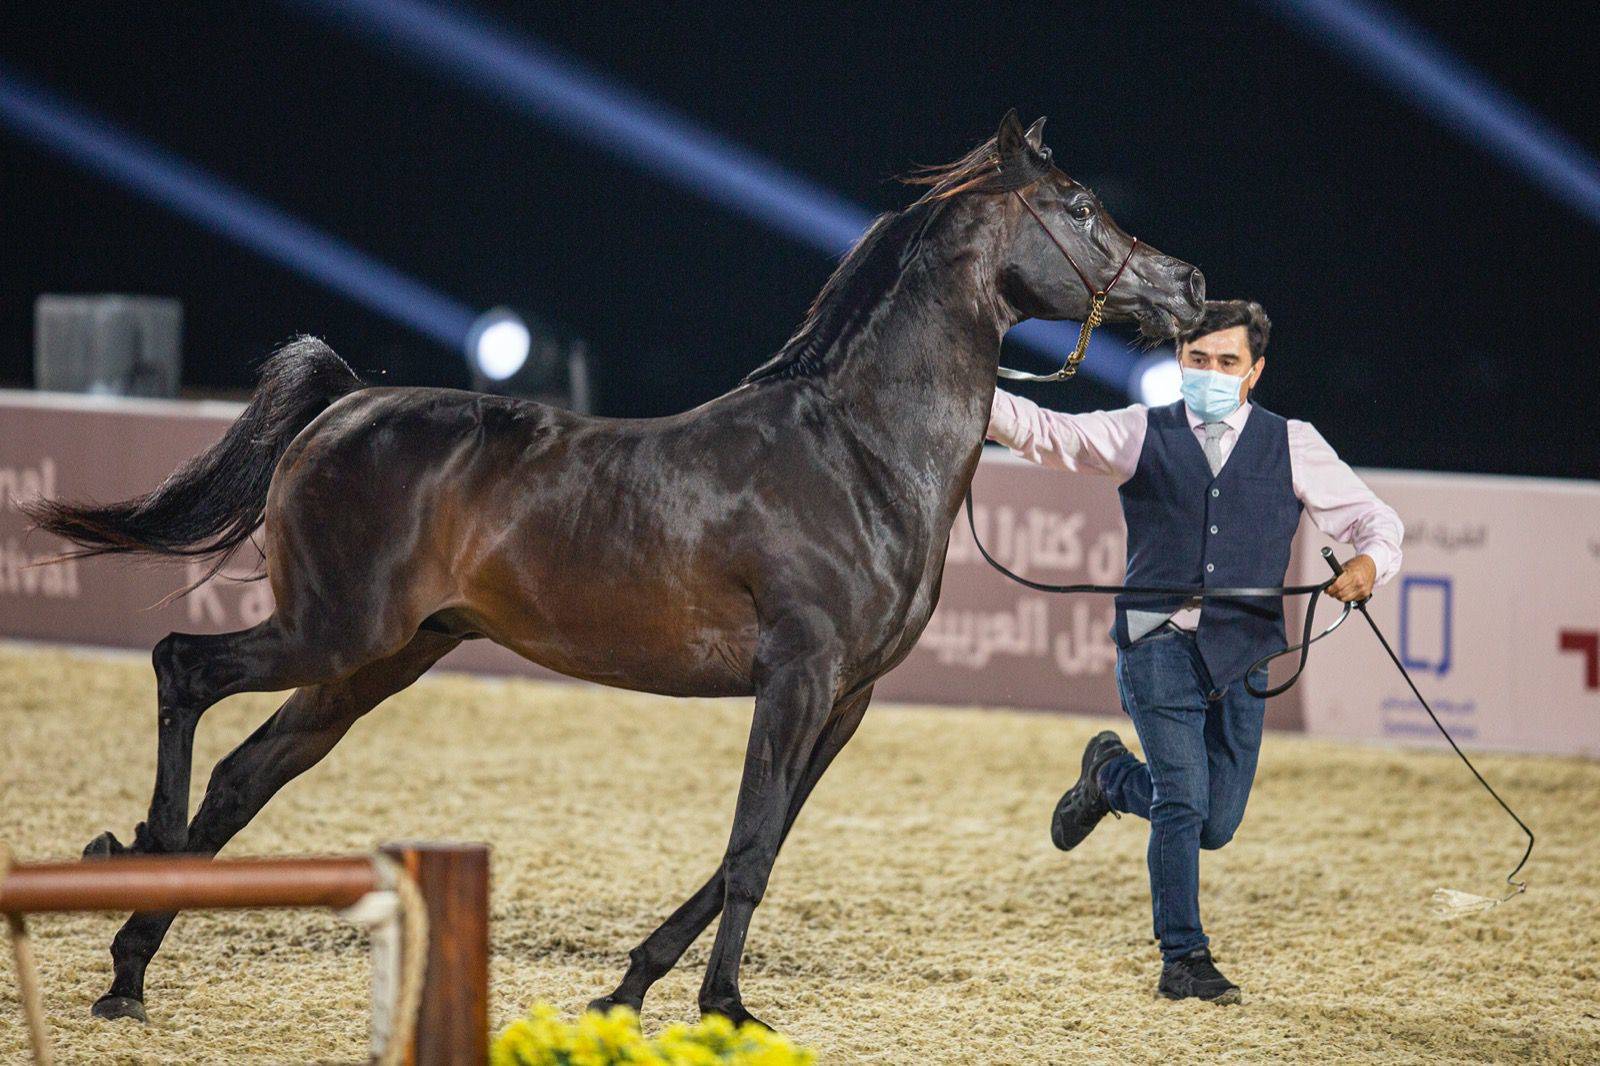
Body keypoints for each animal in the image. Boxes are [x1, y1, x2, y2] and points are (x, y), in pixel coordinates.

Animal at [28, 110, 1204, 1028]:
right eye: (1080, 204)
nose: (1189, 285)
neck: (858, 452)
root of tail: (346, 403)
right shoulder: (798, 675)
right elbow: (748, 844)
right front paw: (725, 1008)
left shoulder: (848, 697)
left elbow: (760, 843)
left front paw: (631, 986)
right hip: (332, 631)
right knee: (182, 670)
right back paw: (134, 856)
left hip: (374, 662)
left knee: (243, 777)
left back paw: (130, 959)